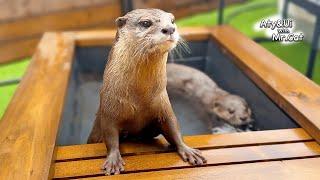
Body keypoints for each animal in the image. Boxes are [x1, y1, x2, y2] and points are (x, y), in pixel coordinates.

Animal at [88, 8, 208, 176]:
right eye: (145, 23)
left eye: (172, 20)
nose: (170, 29)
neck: (140, 98)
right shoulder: (109, 108)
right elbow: (110, 134)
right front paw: (113, 160)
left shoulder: (163, 105)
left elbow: (173, 127)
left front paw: (187, 150)